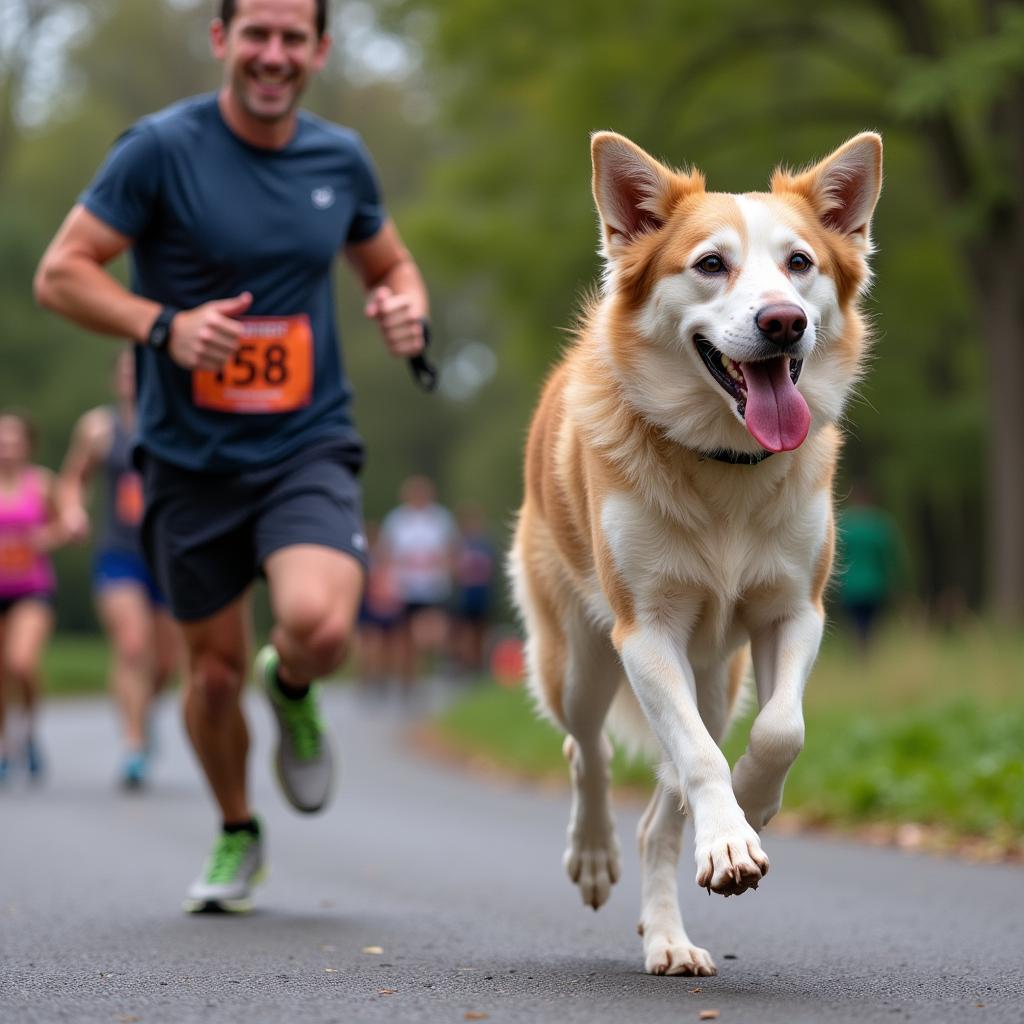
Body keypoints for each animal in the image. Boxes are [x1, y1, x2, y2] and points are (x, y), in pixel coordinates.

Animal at [507, 132, 884, 970]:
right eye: (712, 264)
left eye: (800, 263)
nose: (783, 322)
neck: (724, 463)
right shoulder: (646, 633)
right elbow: (701, 757)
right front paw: (730, 836)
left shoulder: (793, 613)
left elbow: (779, 732)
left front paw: (751, 807)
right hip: (580, 658)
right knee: (587, 749)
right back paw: (595, 855)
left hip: (715, 678)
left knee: (663, 811)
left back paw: (670, 938)